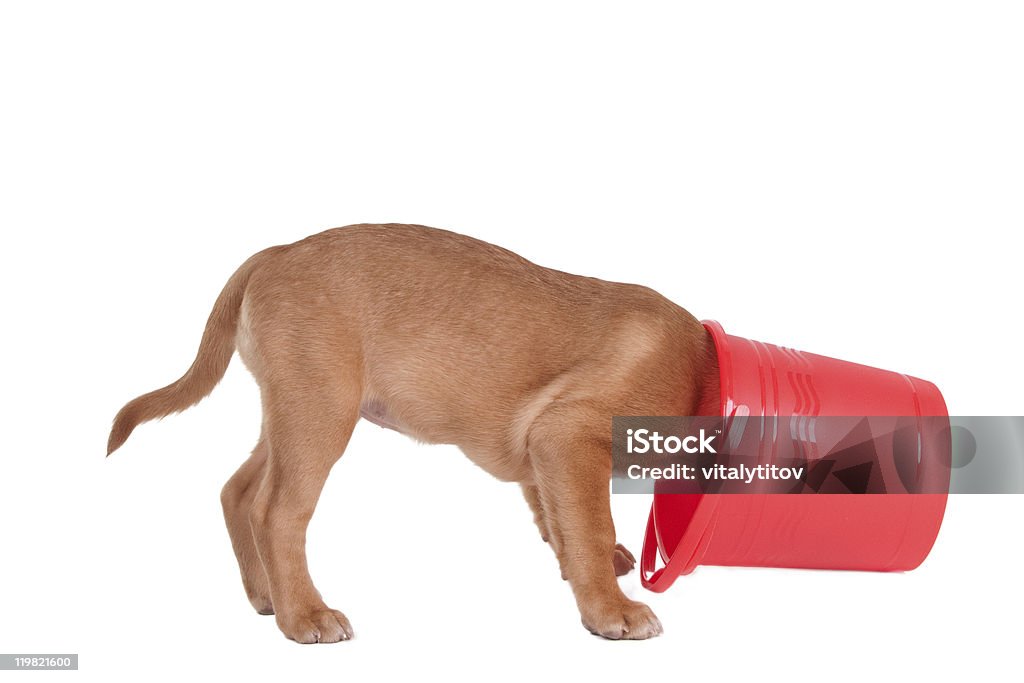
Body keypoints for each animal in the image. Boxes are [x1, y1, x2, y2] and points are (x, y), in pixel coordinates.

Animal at [103, 225, 712, 647]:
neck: (700, 370)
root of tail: (275, 252)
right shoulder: (566, 438)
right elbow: (588, 527)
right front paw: (611, 610)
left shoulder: (543, 454)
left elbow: (560, 523)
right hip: (320, 414)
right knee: (275, 512)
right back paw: (305, 615)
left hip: (293, 413)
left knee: (237, 490)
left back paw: (266, 596)